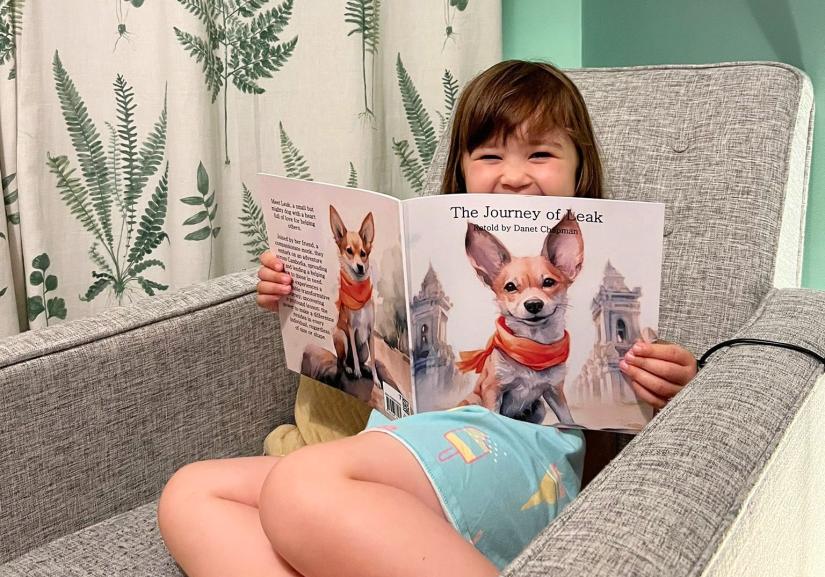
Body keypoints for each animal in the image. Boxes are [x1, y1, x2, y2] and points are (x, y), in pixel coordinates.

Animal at [326, 205, 382, 390]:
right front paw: (357, 371)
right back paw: (351, 369)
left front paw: (376, 379)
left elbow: (373, 360)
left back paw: (364, 368)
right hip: (341, 336)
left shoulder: (370, 331)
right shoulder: (351, 329)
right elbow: (355, 356)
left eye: (363, 253)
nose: (360, 267)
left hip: (364, 346)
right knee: (343, 361)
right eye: (349, 251)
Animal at [458, 214, 584, 426]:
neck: (532, 345)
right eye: (510, 287)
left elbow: (567, 418)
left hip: (539, 407)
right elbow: (493, 415)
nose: (533, 304)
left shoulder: (554, 390)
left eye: (548, 282)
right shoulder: (492, 389)